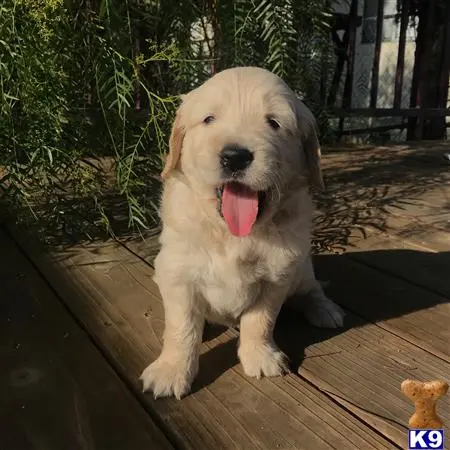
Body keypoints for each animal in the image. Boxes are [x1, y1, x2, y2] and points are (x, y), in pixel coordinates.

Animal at [141, 66, 344, 398]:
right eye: (209, 119)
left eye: (273, 123)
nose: (235, 156)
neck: (232, 234)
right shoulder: (177, 273)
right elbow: (181, 326)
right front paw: (171, 370)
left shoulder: (277, 275)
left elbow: (260, 319)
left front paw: (260, 356)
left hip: (301, 269)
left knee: (312, 288)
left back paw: (325, 309)